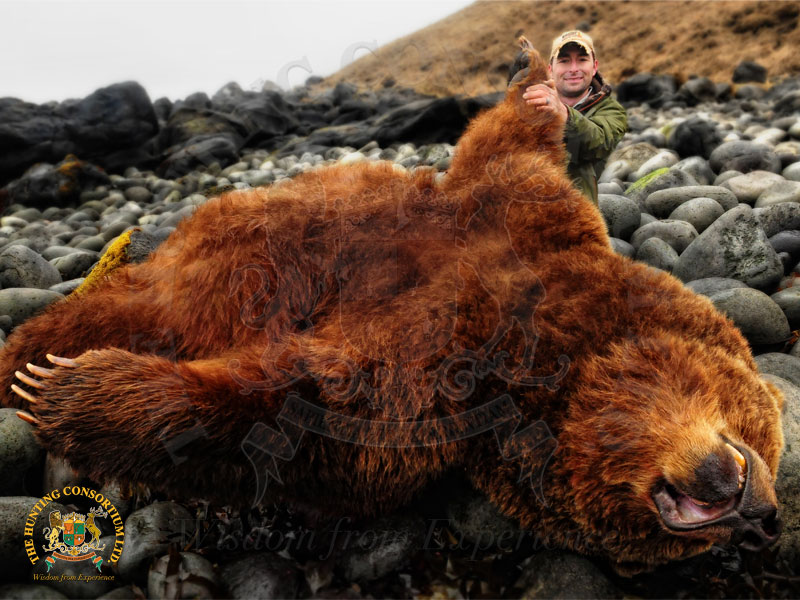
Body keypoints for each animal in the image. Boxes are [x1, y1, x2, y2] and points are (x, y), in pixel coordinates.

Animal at [0, 39, 784, 575]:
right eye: (755, 428)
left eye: (768, 446)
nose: (760, 515)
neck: (555, 334)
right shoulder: (520, 216)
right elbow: (510, 139)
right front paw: (533, 71)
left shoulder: (443, 388)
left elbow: (312, 421)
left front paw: (80, 390)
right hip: (204, 268)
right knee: (132, 305)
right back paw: (36, 351)